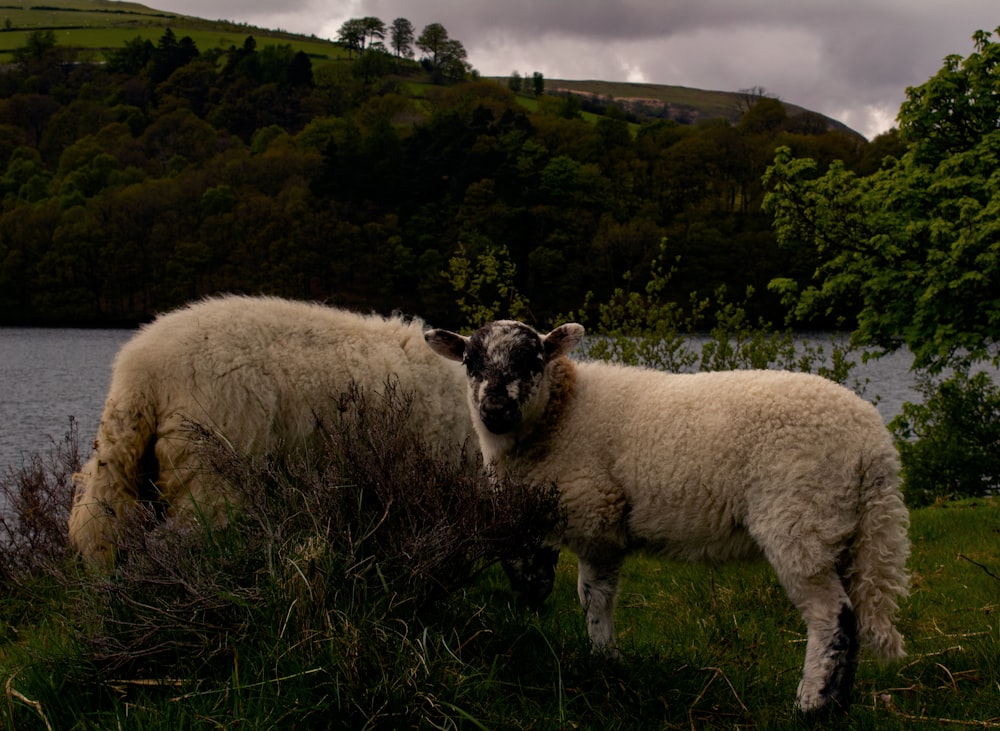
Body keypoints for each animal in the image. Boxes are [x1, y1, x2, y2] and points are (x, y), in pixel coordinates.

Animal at [426, 320, 912, 716]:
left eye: (533, 360)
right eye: (470, 361)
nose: (494, 409)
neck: (560, 413)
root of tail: (874, 444)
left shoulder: (596, 513)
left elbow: (592, 597)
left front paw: (602, 655)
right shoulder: (559, 518)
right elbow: (556, 577)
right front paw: (599, 655)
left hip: (799, 519)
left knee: (832, 616)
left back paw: (811, 705)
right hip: (843, 529)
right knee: (853, 615)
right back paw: (838, 702)